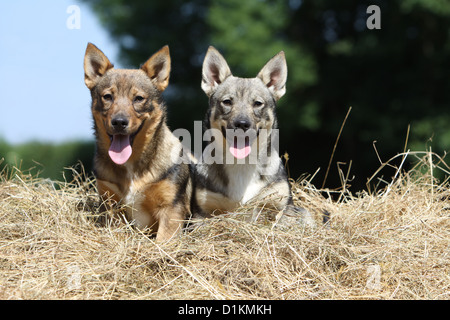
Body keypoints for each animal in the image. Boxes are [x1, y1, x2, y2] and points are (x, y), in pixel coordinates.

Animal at [83, 43, 192, 242]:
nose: (119, 122)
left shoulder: (171, 210)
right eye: (107, 96)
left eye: (138, 98)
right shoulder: (110, 205)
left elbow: (163, 242)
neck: (131, 166)